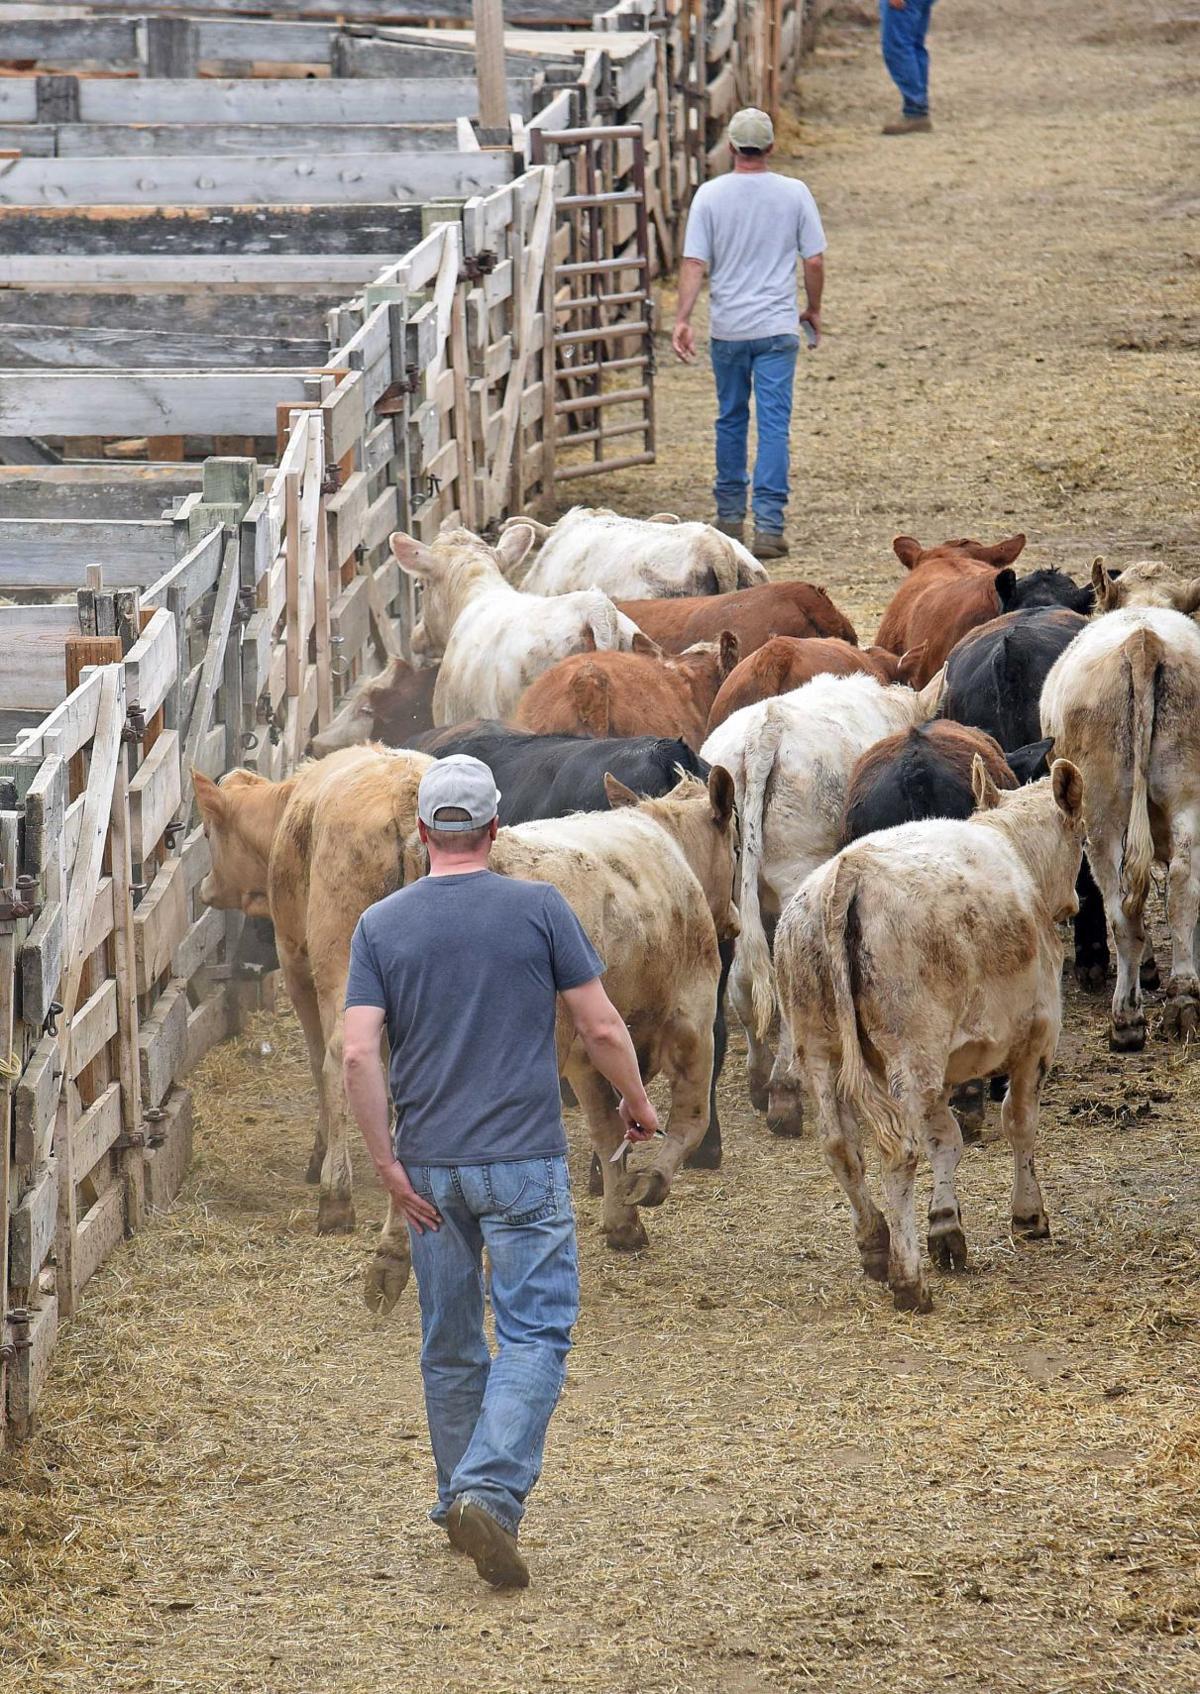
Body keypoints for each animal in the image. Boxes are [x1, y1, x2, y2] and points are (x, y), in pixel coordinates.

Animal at [193, 745, 434, 1237]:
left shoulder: (296, 965)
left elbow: (318, 1060)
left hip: (338, 962)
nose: (205, 887)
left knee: (339, 1054)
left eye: (208, 832)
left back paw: (336, 1197)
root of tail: (403, 793)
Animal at [701, 668, 946, 1134]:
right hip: (798, 876)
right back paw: (784, 1092)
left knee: (744, 980)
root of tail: (766, 729)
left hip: (733, 891)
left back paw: (760, 1081)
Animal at [774, 757, 1085, 1313]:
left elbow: (946, 1139)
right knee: (897, 1152)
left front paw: (945, 1228)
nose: (1074, 901)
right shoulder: (1038, 1036)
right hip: (912, 1051)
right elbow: (1019, 1123)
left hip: (820, 1049)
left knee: (840, 1144)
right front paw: (1028, 1214)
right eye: (1083, 836)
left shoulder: (943, 1070)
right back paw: (908, 1279)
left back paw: (876, 1243)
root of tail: (848, 870)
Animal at [1041, 592, 1200, 1052]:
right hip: (1187, 795)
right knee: (1183, 888)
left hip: (1100, 816)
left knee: (1122, 911)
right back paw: (1184, 999)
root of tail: (1143, 640)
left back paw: (1127, 1019)